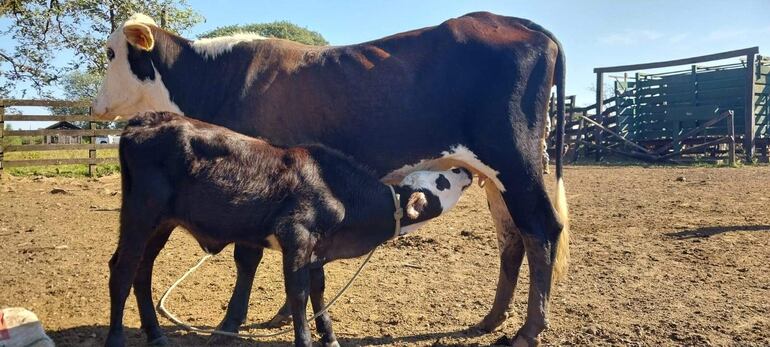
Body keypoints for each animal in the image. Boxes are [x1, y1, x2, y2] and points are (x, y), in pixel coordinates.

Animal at [106, 111, 472, 347]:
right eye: (441, 182)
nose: (464, 170)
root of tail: (144, 120)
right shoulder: (296, 235)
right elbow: (298, 295)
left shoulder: (316, 250)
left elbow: (318, 291)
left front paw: (330, 337)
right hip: (140, 214)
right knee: (123, 270)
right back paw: (117, 338)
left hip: (161, 223)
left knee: (142, 271)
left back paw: (156, 335)